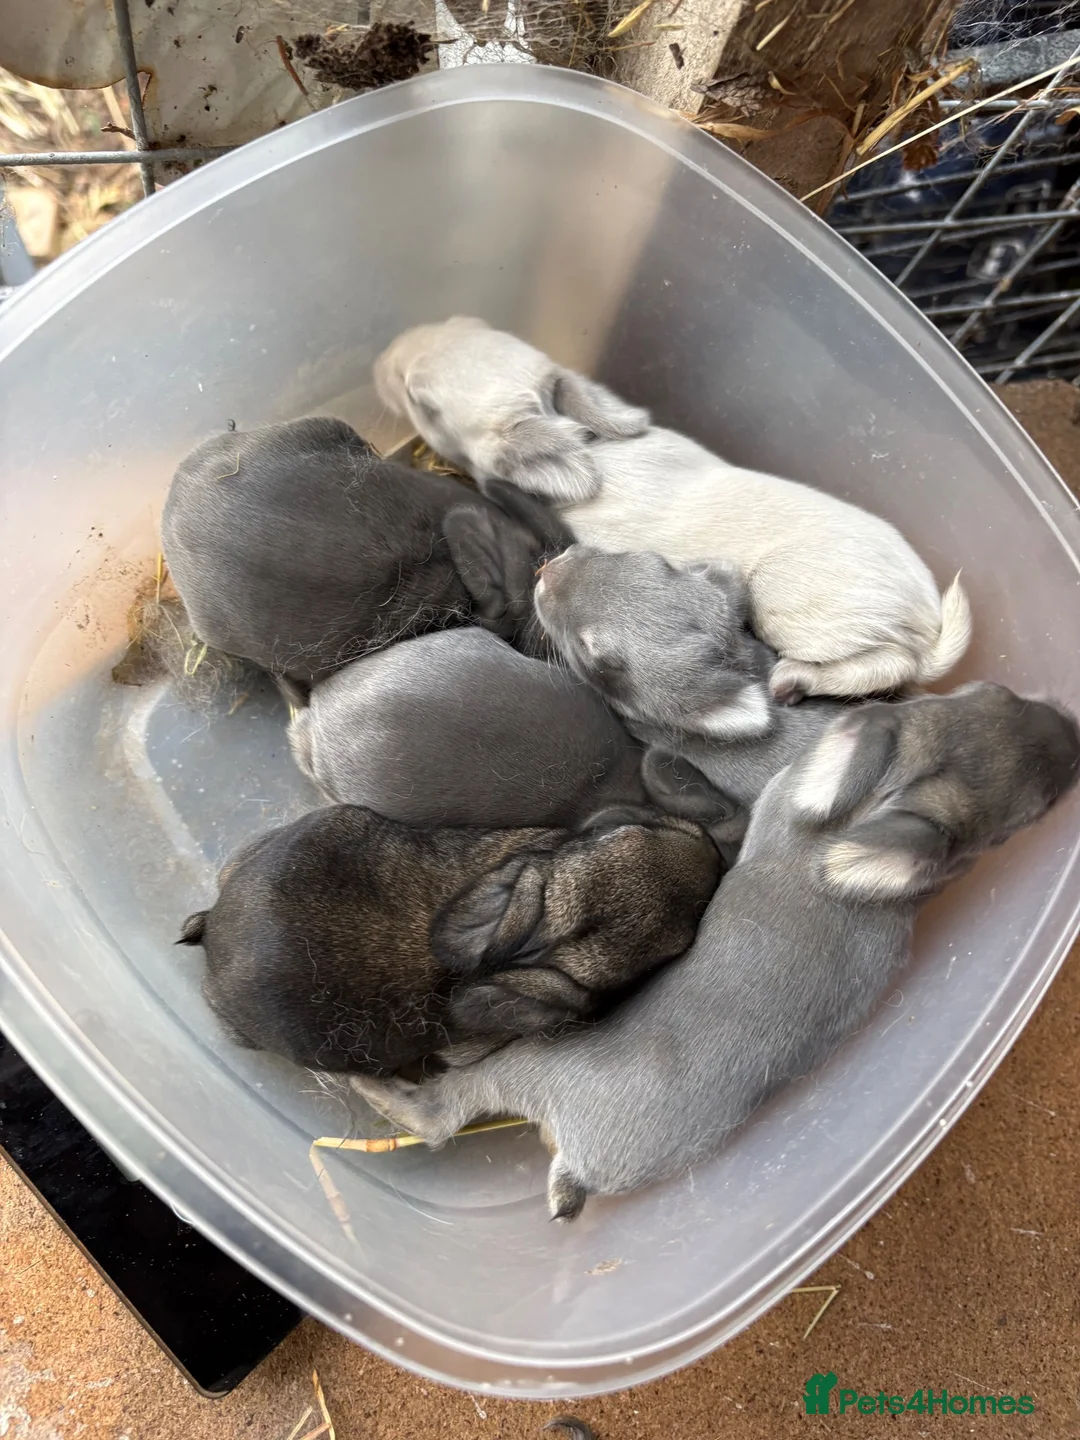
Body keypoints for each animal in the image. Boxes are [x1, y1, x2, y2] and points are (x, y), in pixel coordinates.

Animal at [350, 682, 1080, 1218]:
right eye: (994, 695)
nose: (1070, 733)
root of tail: (583, 1167)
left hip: (524, 1067)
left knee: (440, 1111)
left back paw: (373, 1088)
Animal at [373, 318, 971, 702]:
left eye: (422, 402)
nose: (381, 359)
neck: (589, 447)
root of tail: (928, 623)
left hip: (795, 608)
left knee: (884, 665)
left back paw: (793, 679)